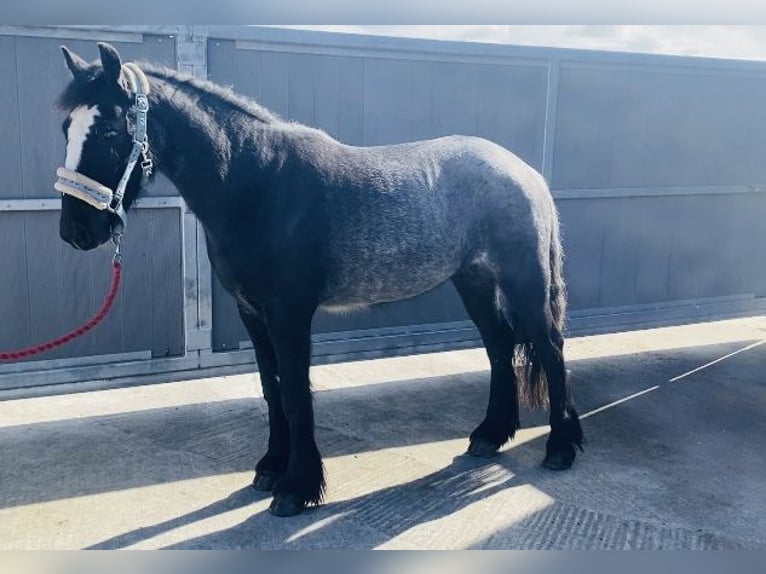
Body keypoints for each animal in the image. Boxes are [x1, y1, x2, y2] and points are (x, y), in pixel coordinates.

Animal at [57, 42, 584, 520]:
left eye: (109, 130)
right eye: (66, 127)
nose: (76, 231)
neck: (257, 182)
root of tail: (524, 172)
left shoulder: (289, 312)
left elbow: (294, 392)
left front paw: (297, 488)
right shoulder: (252, 312)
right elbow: (271, 388)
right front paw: (271, 468)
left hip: (525, 281)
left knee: (550, 350)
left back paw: (560, 447)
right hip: (473, 281)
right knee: (499, 346)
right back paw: (491, 435)